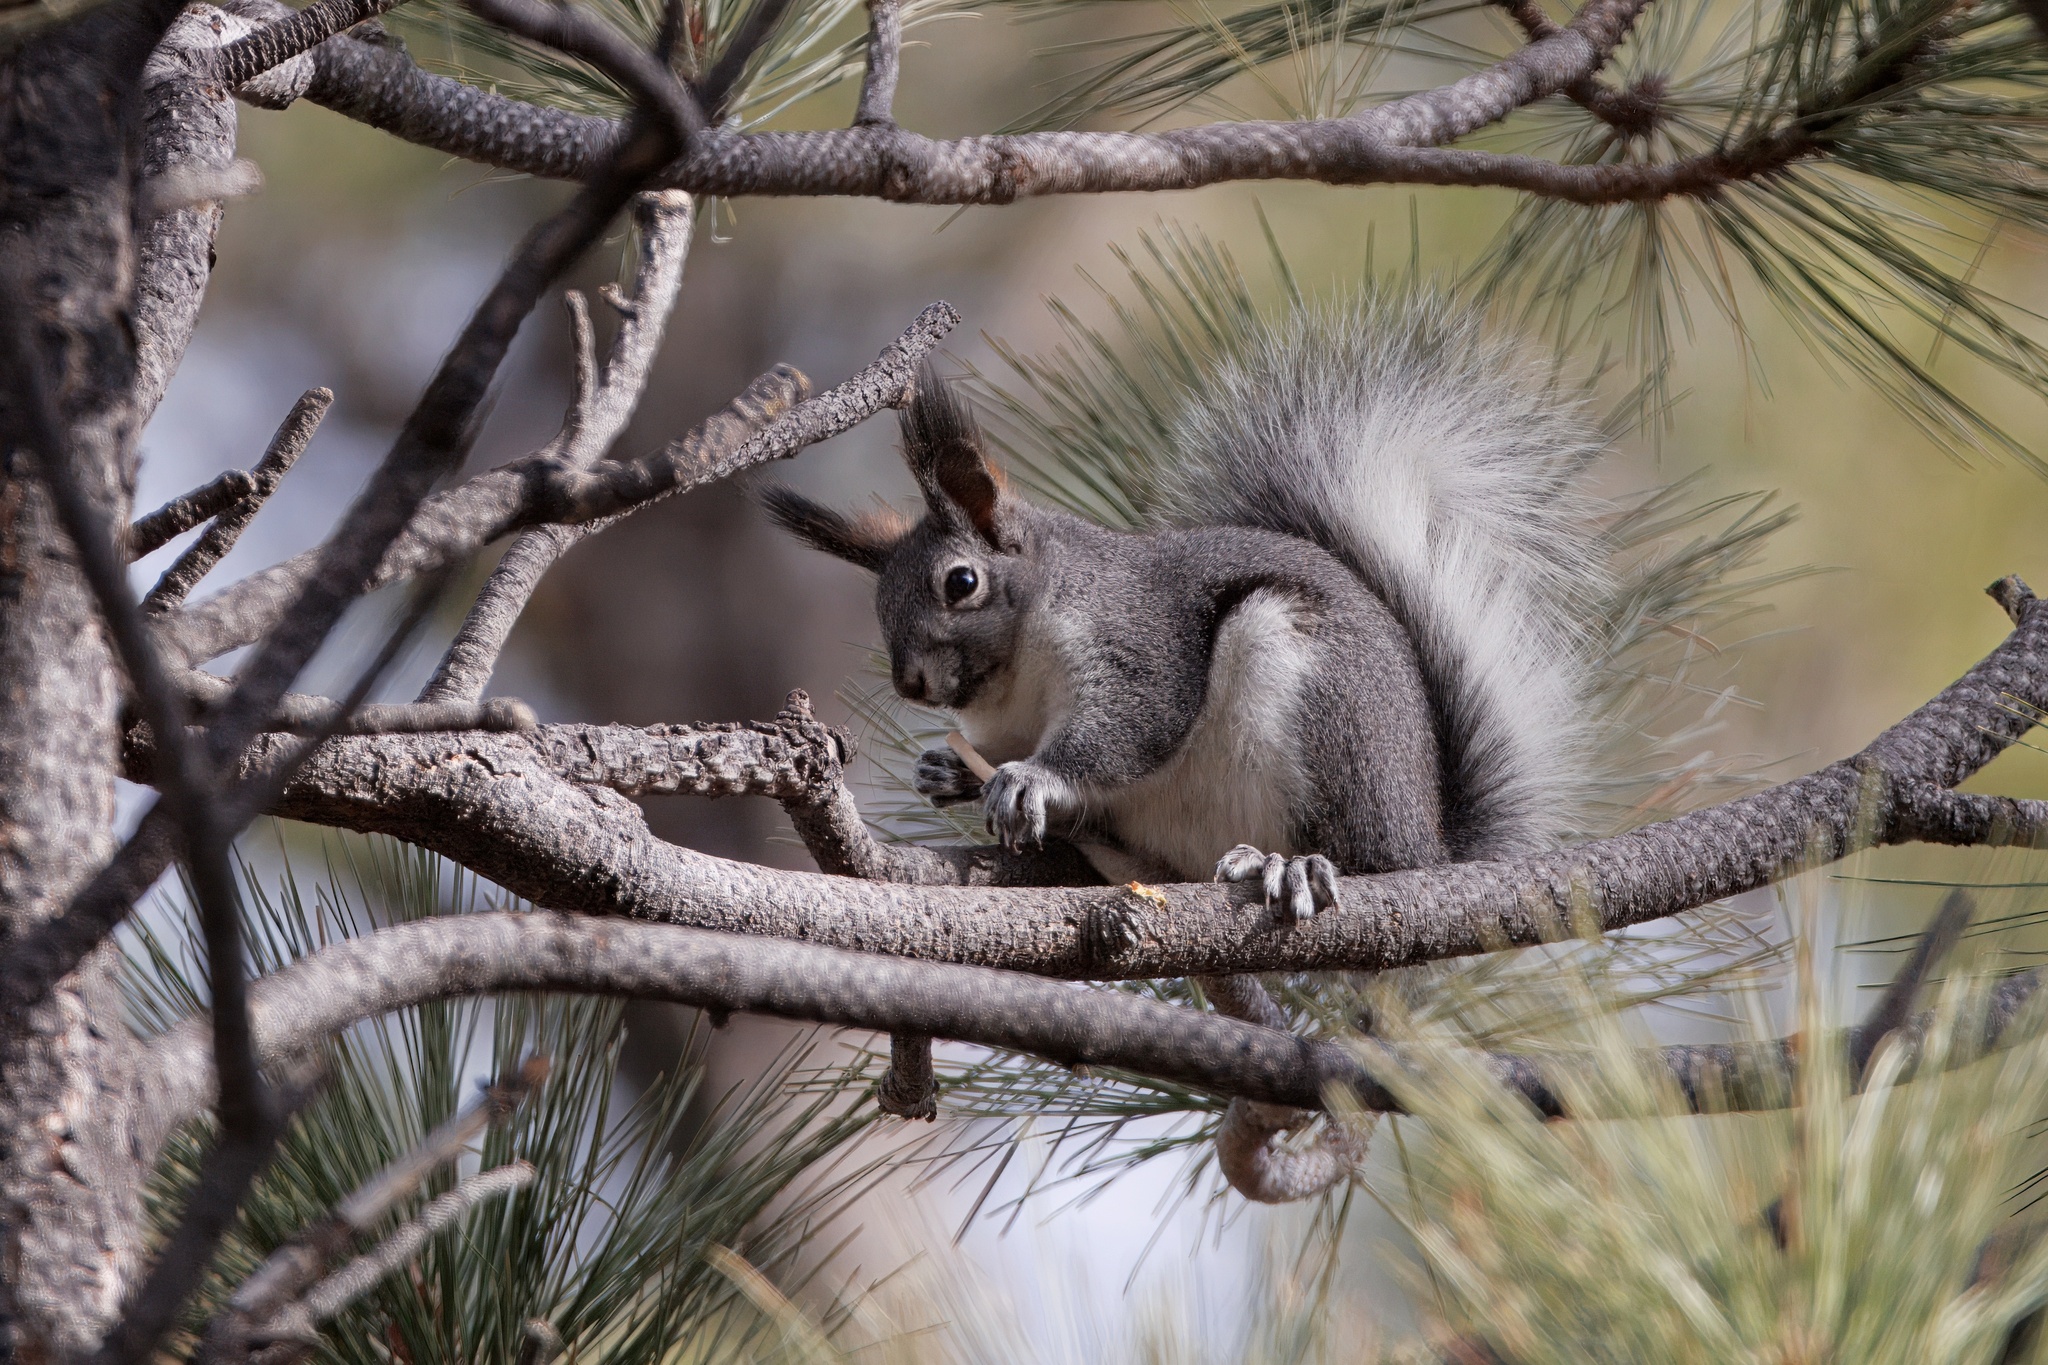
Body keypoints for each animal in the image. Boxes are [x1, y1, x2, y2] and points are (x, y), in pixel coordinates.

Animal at [764, 290, 1611, 1198]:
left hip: (1326, 717)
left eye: (961, 583)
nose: (914, 684)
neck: (1016, 680)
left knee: (1354, 852)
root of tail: (1432, 843)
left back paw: (1291, 866)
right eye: (880, 609)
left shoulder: (1139, 644)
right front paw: (945, 770)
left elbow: (1132, 725)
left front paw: (1033, 780)